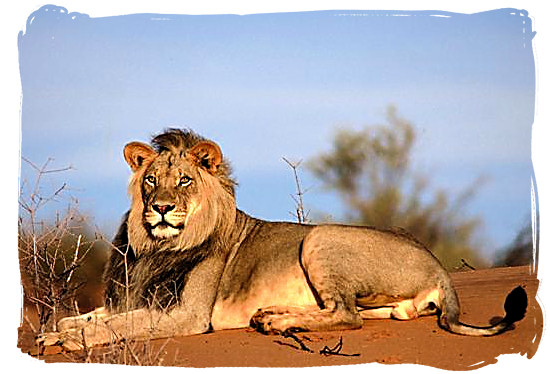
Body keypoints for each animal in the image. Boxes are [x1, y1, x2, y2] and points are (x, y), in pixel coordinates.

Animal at [36, 129, 528, 350]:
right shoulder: (137, 298)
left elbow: (118, 326)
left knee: (348, 316)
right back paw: (273, 315)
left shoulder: (188, 315)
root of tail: (441, 267)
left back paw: (276, 322)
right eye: (151, 180)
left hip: (320, 240)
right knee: (347, 310)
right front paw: (58, 330)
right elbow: (88, 317)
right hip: (382, 297)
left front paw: (67, 341)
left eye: (184, 181)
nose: (159, 207)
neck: (158, 247)